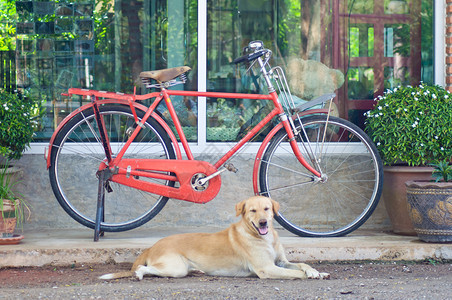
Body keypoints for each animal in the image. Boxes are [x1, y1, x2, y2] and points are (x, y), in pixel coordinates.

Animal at [100, 196, 330, 280]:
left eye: (266, 208)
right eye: (253, 211)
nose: (264, 222)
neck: (264, 238)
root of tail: (151, 246)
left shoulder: (281, 261)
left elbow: (300, 264)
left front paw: (316, 271)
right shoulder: (266, 268)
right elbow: (295, 273)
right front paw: (312, 275)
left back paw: (198, 270)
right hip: (175, 268)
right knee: (145, 268)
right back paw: (139, 274)